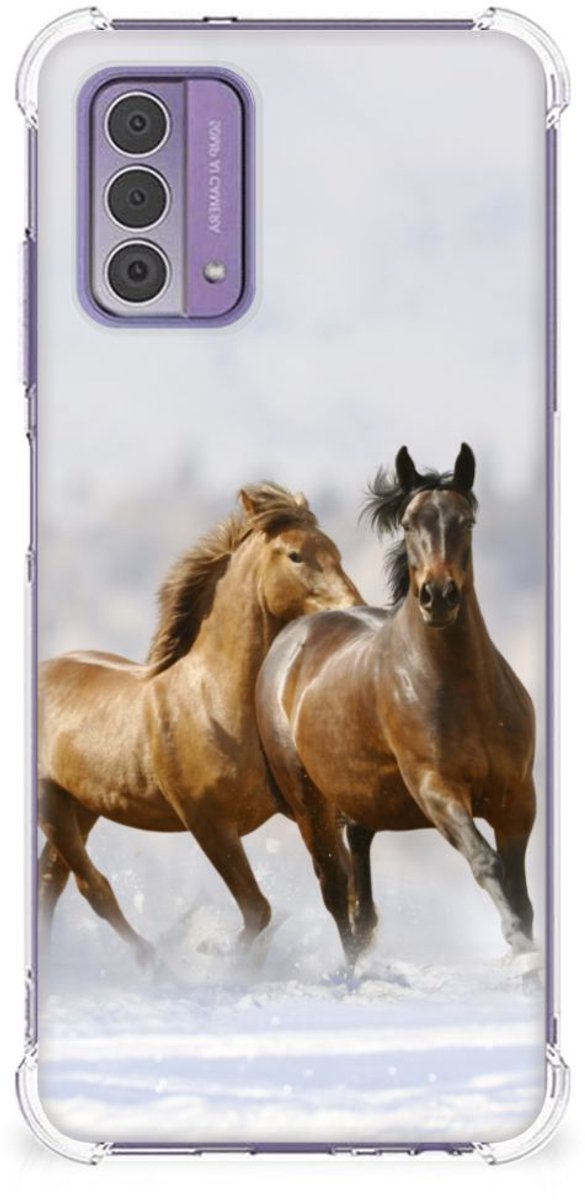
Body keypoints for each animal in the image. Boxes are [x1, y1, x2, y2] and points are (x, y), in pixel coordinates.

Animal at [38, 483, 362, 963]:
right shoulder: (207, 822)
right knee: (90, 886)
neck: (215, 703)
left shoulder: (305, 808)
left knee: (51, 880)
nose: (354, 609)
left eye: (336, 551)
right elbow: (258, 910)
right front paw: (221, 958)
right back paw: (153, 961)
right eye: (295, 555)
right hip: (53, 804)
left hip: (82, 805)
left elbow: (337, 884)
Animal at [255, 446, 537, 967]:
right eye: (408, 523)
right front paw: (519, 946)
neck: (462, 691)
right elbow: (486, 862)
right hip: (309, 805)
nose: (438, 596)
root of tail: (290, 639)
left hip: (359, 803)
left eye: (466, 521)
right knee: (335, 890)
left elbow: (519, 888)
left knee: (360, 895)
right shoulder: (437, 789)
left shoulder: (517, 798)